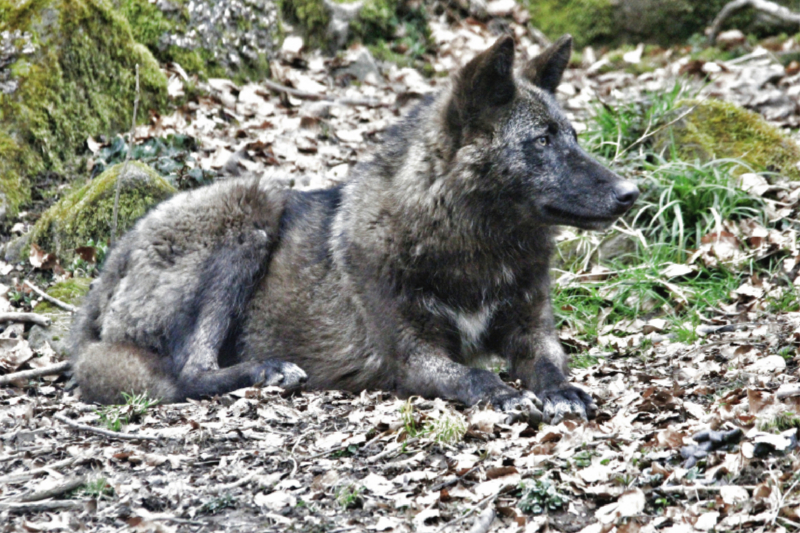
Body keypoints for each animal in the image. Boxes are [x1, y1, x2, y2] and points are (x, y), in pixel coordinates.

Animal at [72, 34, 640, 424]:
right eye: (541, 141)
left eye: (572, 136)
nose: (630, 192)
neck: (475, 248)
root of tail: (106, 271)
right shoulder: (413, 355)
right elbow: (473, 373)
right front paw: (504, 393)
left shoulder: (531, 328)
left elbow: (549, 363)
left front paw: (560, 391)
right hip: (251, 208)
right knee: (189, 372)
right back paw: (269, 370)